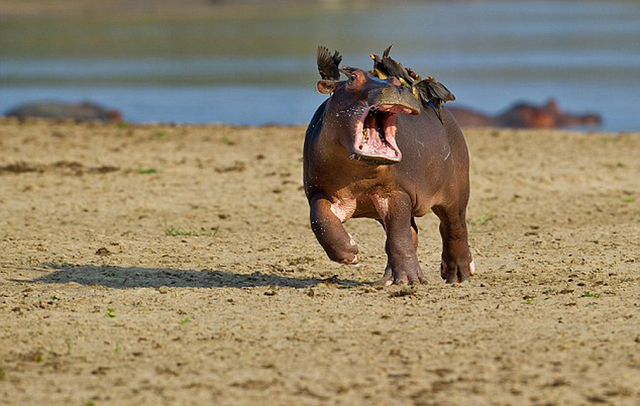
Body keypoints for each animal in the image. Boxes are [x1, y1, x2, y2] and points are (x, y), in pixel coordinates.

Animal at [302, 48, 472, 286]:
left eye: (396, 80)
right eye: (352, 78)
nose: (396, 87)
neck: (359, 174)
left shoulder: (397, 192)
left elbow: (399, 236)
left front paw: (410, 280)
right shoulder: (319, 191)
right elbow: (320, 219)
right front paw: (350, 253)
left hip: (456, 192)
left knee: (453, 227)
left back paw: (458, 275)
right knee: (412, 233)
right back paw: (388, 279)